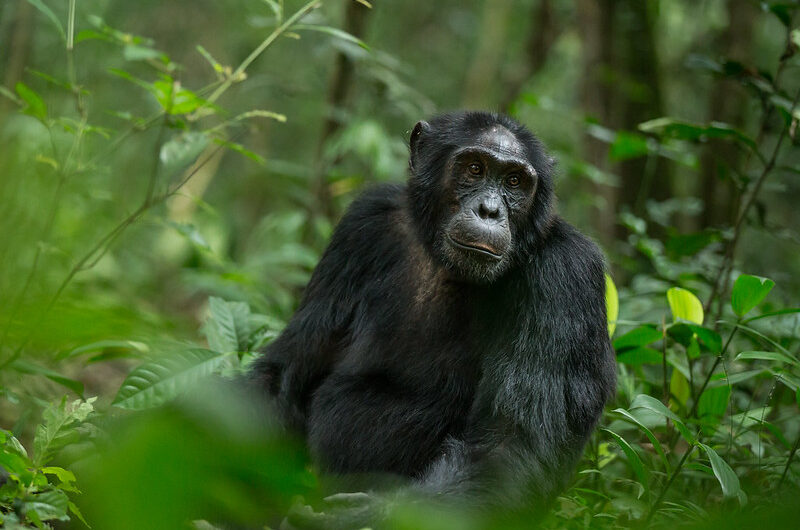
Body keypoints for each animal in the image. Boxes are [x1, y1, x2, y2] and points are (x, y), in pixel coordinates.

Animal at [253, 110, 616, 512]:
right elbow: (287, 374)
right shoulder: (361, 226)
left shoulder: (566, 275)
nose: (489, 210)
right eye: (474, 168)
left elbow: (507, 447)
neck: (444, 264)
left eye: (514, 181)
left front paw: (353, 517)